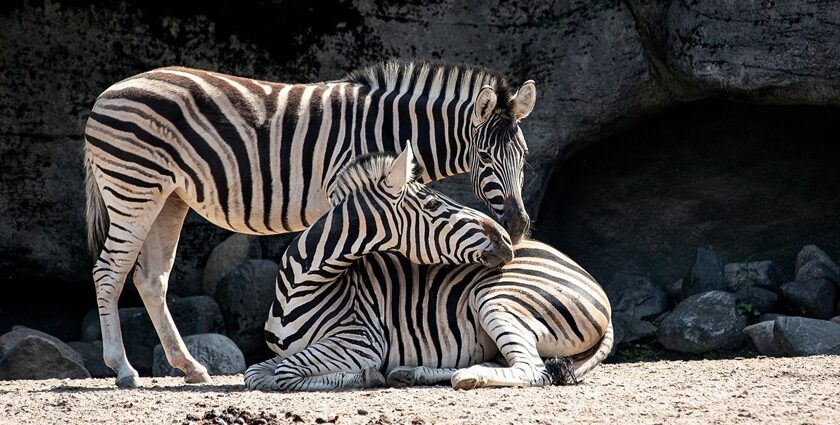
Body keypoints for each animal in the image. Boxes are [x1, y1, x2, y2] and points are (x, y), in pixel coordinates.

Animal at [82, 59, 536, 388]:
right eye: (485, 158)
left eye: (525, 156)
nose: (516, 227)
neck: (391, 127)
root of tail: (107, 94)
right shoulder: (346, 194)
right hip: (134, 187)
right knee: (109, 272)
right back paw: (123, 368)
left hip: (169, 197)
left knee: (150, 278)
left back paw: (190, 367)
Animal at [243, 144, 612, 390]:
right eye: (434, 205)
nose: (508, 240)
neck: (301, 285)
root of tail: (593, 282)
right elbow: (255, 375)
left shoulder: (360, 341)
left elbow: (284, 374)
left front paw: (365, 376)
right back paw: (413, 372)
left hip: (496, 299)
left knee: (533, 370)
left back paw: (465, 376)